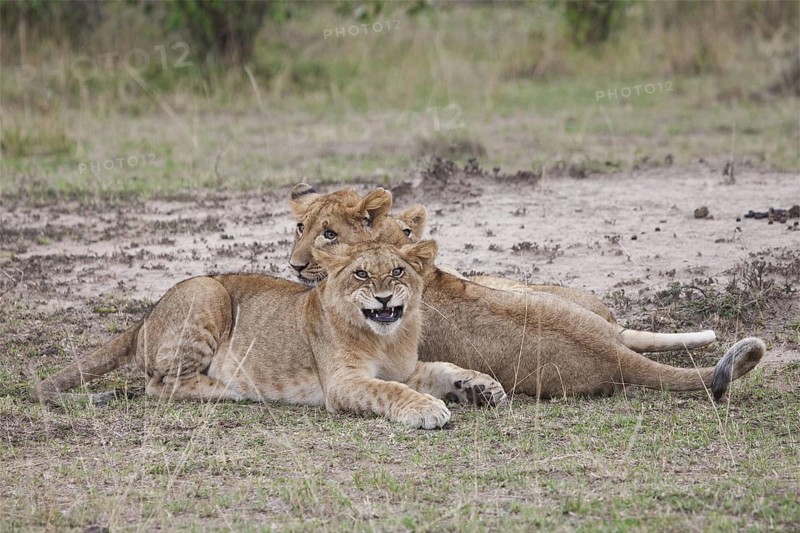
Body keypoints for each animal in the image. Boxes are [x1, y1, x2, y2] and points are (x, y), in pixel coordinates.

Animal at [37, 239, 507, 429]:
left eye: (397, 272)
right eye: (360, 274)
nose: (385, 296)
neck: (386, 336)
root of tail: (144, 318)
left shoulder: (404, 368)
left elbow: (440, 368)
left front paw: (481, 387)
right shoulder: (342, 383)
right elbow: (391, 392)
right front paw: (428, 409)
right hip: (207, 291)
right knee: (158, 385)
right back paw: (228, 388)